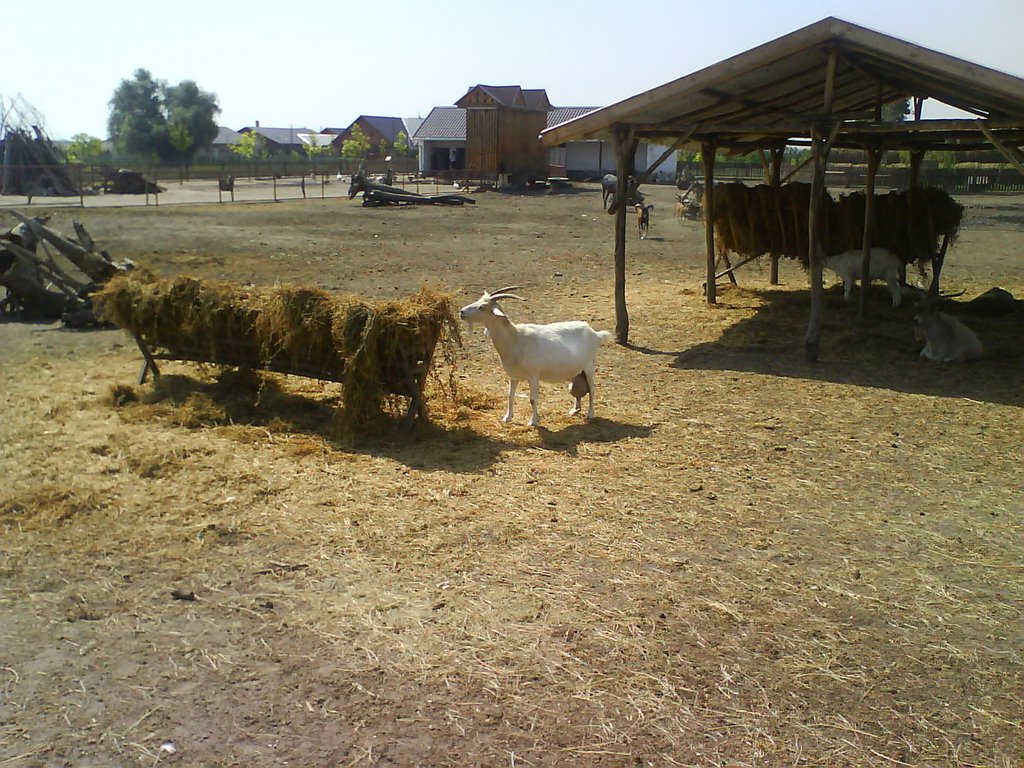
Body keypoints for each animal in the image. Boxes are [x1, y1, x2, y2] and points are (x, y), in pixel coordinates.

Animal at [460, 290, 610, 430]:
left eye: (482, 307)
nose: (461, 312)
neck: (516, 339)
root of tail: (596, 334)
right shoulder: (514, 376)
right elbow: (510, 396)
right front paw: (507, 418)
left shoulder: (533, 376)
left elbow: (532, 399)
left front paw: (533, 421)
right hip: (577, 372)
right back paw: (574, 410)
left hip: (589, 366)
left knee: (592, 389)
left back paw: (590, 414)